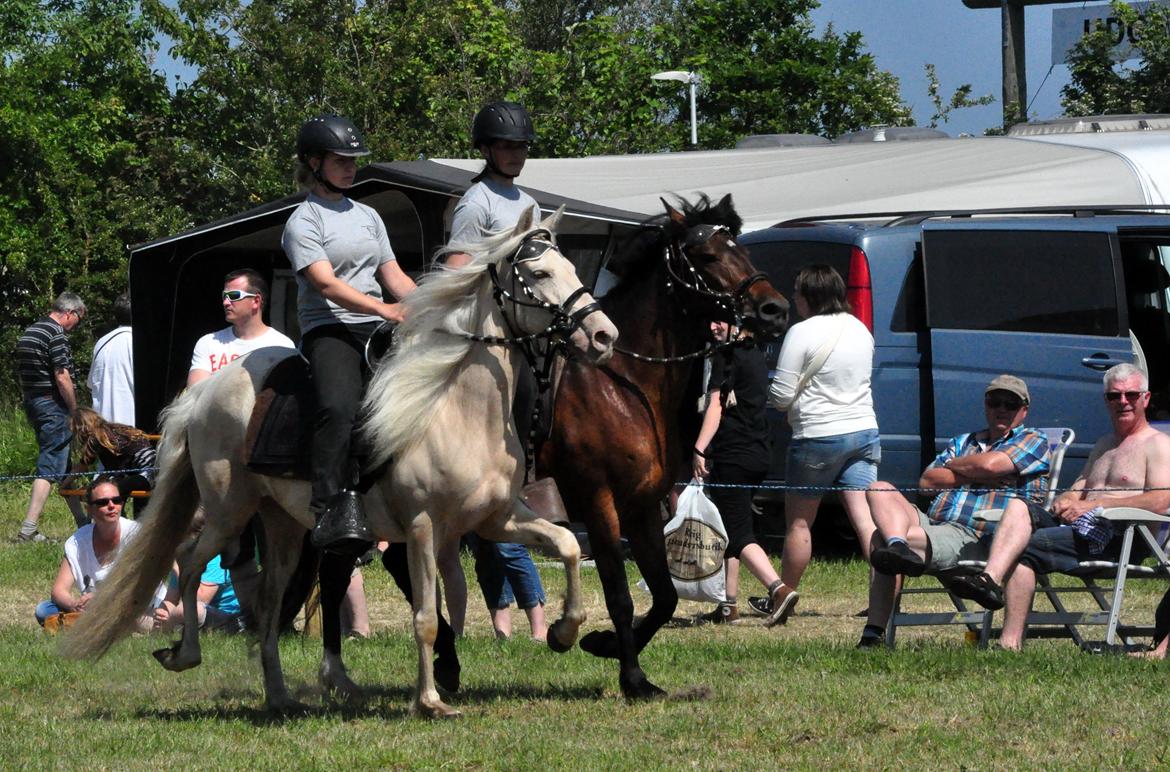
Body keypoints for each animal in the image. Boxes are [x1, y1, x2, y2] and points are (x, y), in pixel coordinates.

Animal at [61, 209, 622, 715]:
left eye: (573, 266)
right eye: (541, 273)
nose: (603, 336)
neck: (454, 407)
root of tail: (207, 391)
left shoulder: (495, 520)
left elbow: (567, 545)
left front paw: (563, 632)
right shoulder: (423, 528)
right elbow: (427, 617)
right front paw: (430, 701)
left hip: (284, 526)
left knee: (265, 600)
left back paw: (280, 696)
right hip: (228, 511)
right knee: (191, 560)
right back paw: (184, 655)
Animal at [535, 194, 790, 701]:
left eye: (742, 249)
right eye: (708, 256)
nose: (775, 309)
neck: (623, 383)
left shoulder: (642, 505)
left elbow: (666, 595)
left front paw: (604, 644)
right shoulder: (599, 503)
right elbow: (619, 593)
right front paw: (631, 677)